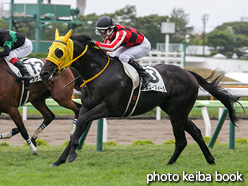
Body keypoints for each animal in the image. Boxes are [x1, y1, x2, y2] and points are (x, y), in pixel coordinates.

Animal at [40, 30, 238, 167]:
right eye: (49, 49)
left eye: (59, 52)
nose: (44, 73)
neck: (98, 73)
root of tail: (188, 73)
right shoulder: (86, 107)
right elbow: (77, 128)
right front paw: (59, 160)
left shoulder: (107, 108)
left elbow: (80, 123)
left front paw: (72, 155)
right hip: (177, 111)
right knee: (195, 133)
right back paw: (209, 159)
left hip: (177, 113)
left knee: (182, 140)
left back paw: (170, 163)